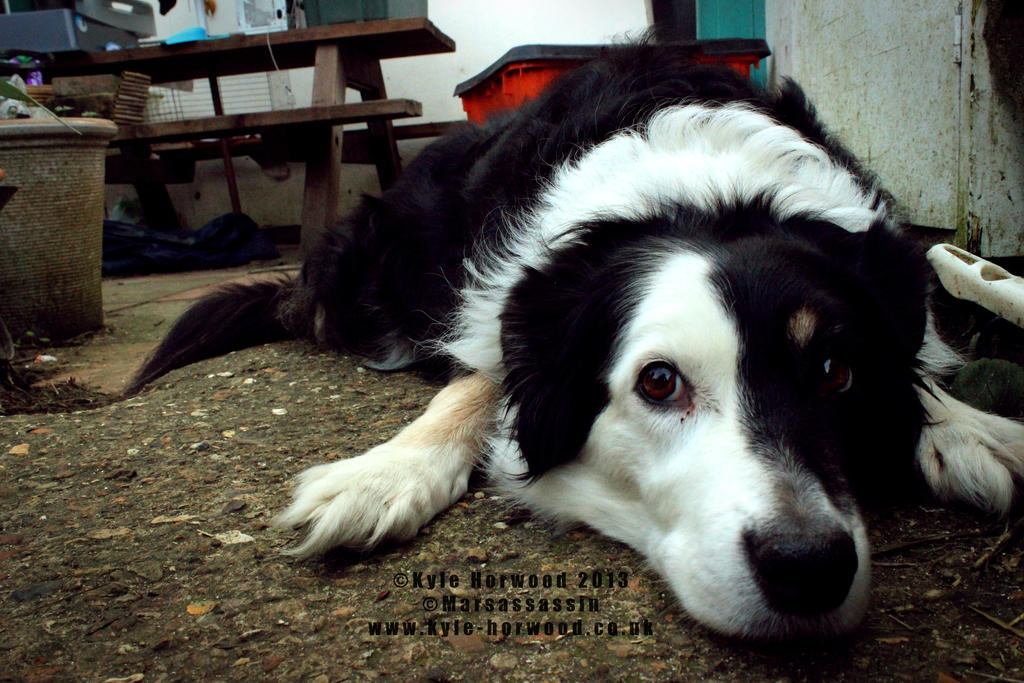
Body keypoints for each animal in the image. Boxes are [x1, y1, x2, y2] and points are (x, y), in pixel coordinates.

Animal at [130, 42, 1024, 643]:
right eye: (660, 382)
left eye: (836, 370)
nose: (809, 565)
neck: (703, 188)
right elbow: (479, 377)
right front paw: (384, 472)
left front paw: (972, 427)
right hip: (364, 270)